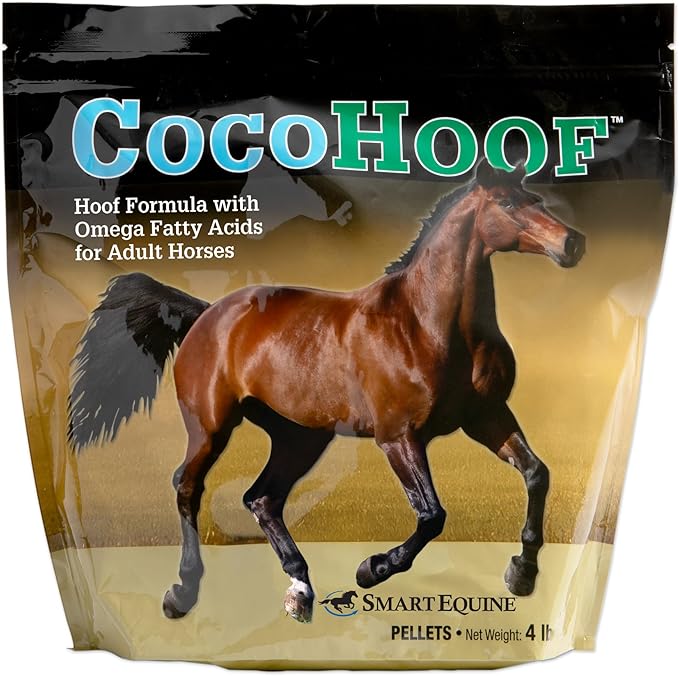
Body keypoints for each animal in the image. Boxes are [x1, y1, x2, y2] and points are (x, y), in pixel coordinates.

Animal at [68, 159, 585, 623]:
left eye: (538, 200)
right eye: (507, 202)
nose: (572, 243)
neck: (427, 324)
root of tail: (205, 313)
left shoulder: (487, 417)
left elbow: (537, 474)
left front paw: (522, 573)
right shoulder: (398, 437)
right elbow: (431, 515)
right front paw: (372, 569)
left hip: (300, 436)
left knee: (262, 499)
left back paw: (300, 590)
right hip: (212, 428)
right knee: (188, 486)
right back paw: (182, 593)